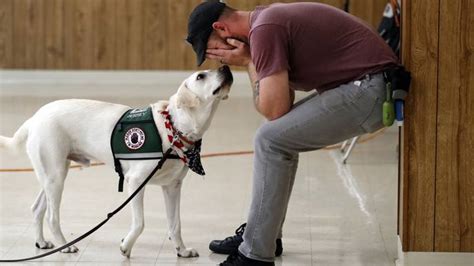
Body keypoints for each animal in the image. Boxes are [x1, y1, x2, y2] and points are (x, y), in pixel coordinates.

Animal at [0, 65, 233, 258]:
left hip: (52, 175)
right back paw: (65, 246)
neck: (174, 128)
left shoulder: (172, 187)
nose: (226, 66)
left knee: (37, 208)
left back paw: (41, 242)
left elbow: (175, 225)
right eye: (201, 76)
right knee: (51, 216)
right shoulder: (136, 182)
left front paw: (182, 250)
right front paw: (126, 247)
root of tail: (34, 118)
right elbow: (140, 223)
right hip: (55, 176)